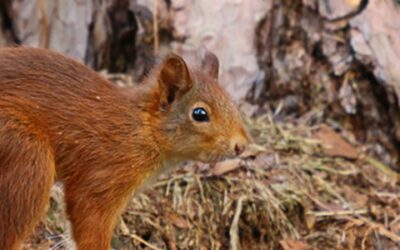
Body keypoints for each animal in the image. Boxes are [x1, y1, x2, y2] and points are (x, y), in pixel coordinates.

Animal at [0, 46, 248, 248]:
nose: (241, 145)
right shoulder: (103, 175)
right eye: (199, 114)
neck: (141, 128)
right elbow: (89, 220)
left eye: (231, 100)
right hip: (28, 156)